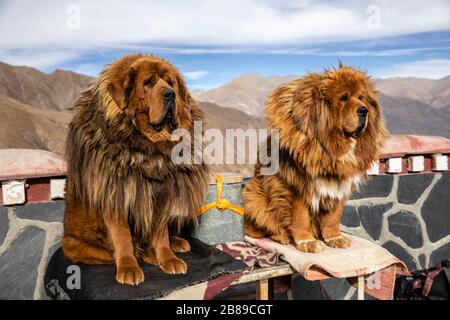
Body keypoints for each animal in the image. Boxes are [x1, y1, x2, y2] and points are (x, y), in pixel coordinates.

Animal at [62, 54, 209, 284]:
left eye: (171, 82)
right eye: (148, 83)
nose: (170, 94)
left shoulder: (159, 193)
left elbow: (160, 234)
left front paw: (167, 258)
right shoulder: (117, 195)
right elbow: (123, 237)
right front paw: (129, 267)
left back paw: (173, 243)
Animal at [243, 63, 386, 254]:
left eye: (361, 98)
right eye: (343, 98)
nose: (364, 110)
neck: (331, 147)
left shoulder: (338, 187)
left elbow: (332, 218)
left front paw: (334, 238)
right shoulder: (297, 188)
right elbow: (300, 218)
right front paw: (307, 242)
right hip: (253, 196)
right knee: (258, 229)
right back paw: (281, 237)